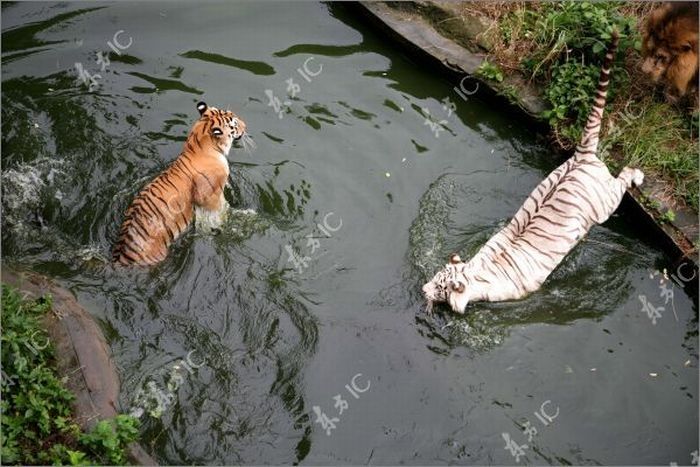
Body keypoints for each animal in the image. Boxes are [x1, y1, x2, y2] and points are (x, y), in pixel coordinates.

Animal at [111, 102, 246, 266]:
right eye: (234, 124)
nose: (245, 127)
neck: (197, 145)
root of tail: (120, 257)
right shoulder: (208, 197)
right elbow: (217, 210)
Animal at [422, 32, 644, 314]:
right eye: (436, 277)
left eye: (440, 287)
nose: (423, 289)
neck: (477, 272)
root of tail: (581, 156)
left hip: (606, 203)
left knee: (624, 177)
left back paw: (638, 175)